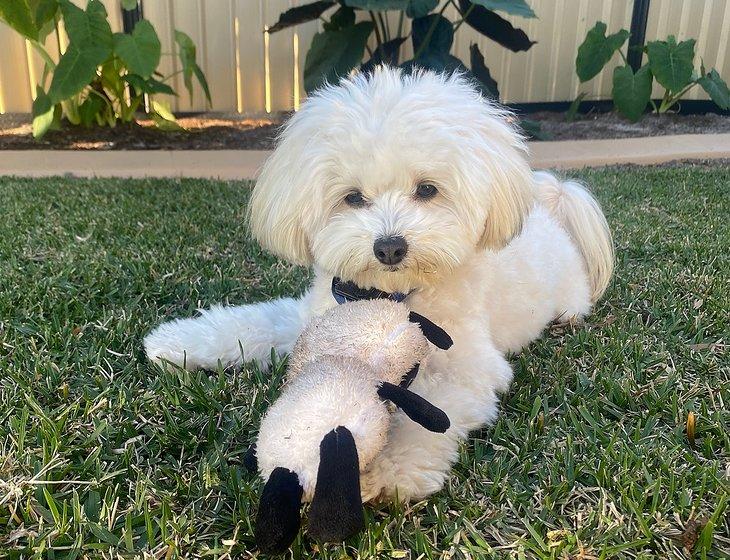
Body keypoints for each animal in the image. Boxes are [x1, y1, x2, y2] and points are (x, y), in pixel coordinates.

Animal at [145, 65, 612, 504]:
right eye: (353, 197)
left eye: (427, 189)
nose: (389, 247)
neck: (386, 296)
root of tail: (550, 209)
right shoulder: (309, 318)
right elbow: (249, 325)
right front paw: (174, 342)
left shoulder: (468, 368)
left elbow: (429, 417)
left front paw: (381, 469)